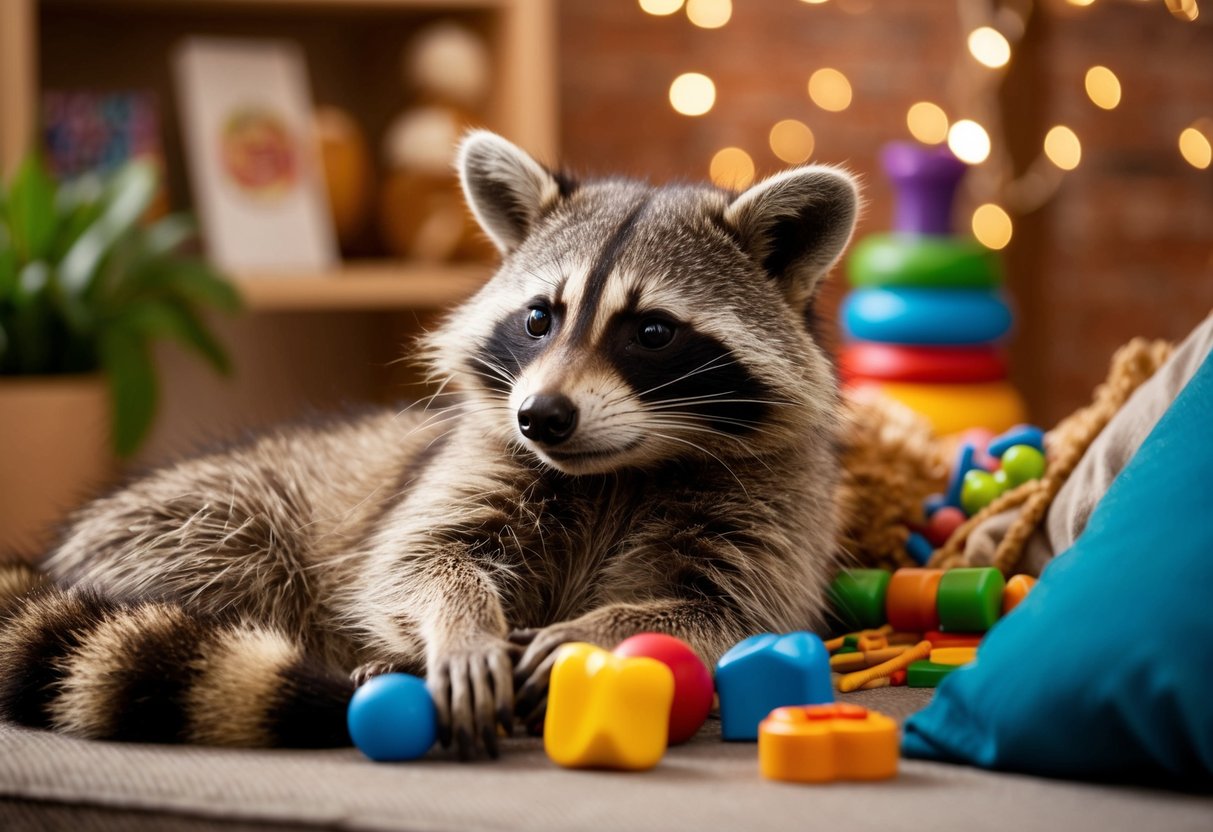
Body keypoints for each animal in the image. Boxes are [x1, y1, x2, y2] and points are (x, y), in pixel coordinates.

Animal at [0, 131, 859, 759]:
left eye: (651, 333)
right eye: (539, 318)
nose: (541, 418)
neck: (621, 466)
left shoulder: (772, 505)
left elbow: (730, 609)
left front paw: (600, 630)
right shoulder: (476, 463)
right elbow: (413, 558)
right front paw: (463, 623)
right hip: (193, 520)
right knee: (235, 566)